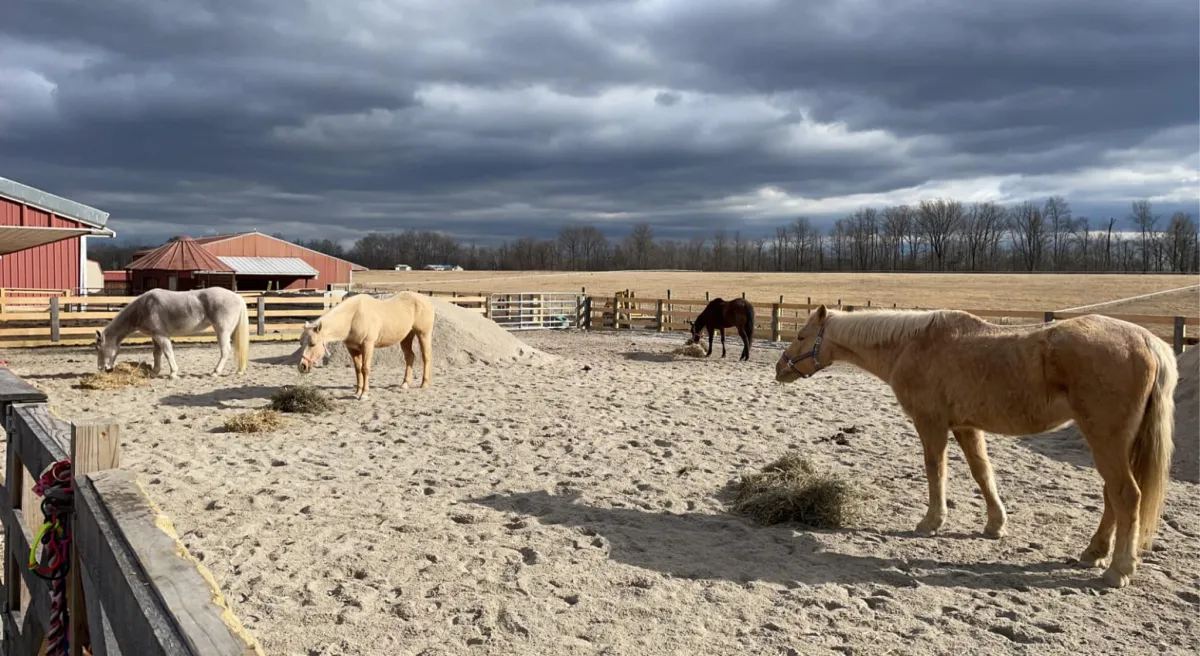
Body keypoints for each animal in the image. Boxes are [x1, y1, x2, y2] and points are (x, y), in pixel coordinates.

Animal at [95, 287, 250, 379]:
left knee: (225, 351)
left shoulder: (161, 335)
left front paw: (173, 373)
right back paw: (239, 370)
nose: (102, 368)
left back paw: (215, 372)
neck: (143, 307)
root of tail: (238, 298)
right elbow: (156, 354)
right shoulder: (155, 336)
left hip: (222, 331)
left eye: (98, 348)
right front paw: (154, 372)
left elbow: (168, 352)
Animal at [297, 291, 435, 400]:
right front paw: (357, 392)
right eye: (301, 343)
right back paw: (405, 384)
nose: (302, 366)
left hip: (423, 334)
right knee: (410, 357)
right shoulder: (352, 349)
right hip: (406, 337)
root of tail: (425, 299)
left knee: (426, 357)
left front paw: (364, 394)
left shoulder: (367, 345)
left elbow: (365, 369)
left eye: (313, 344)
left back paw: (424, 384)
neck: (353, 317)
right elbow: (358, 369)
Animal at [774, 305, 1176, 589]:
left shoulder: (931, 424)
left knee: (1126, 496)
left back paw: (1118, 570)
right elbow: (983, 473)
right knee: (1112, 496)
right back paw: (1094, 553)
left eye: (801, 335)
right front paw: (995, 525)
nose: (780, 369)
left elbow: (935, 470)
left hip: (1106, 440)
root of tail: (1147, 341)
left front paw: (931, 521)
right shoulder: (967, 427)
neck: (912, 345)